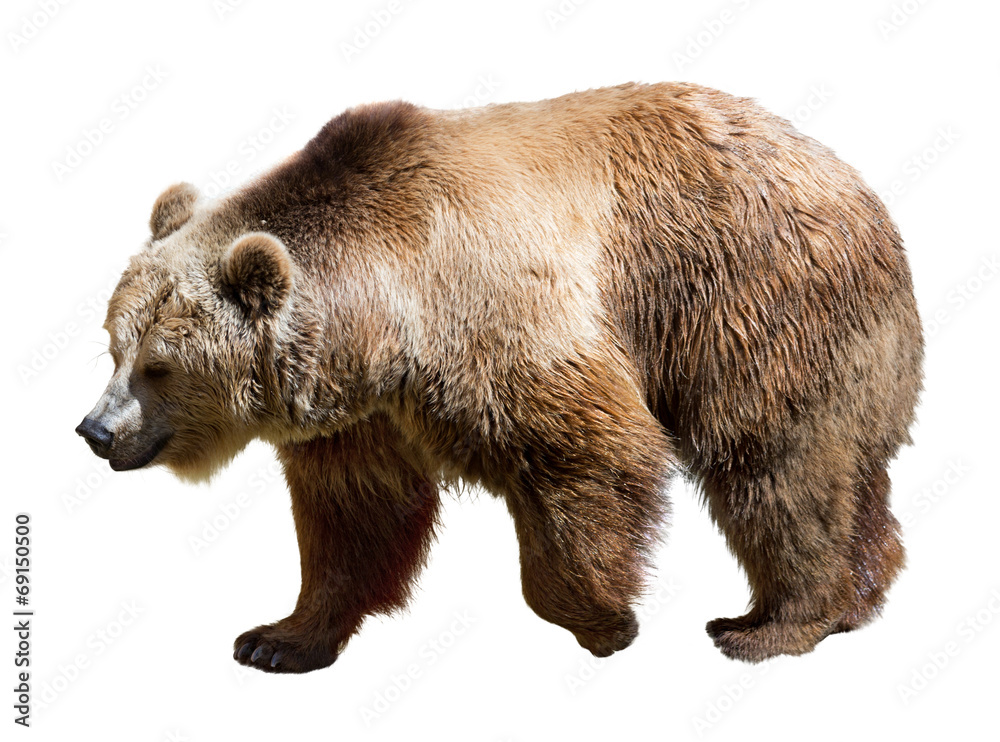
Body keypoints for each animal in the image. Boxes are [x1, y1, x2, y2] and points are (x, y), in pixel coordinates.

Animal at [76, 82, 923, 673]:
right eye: (113, 345)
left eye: (160, 365)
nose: (95, 430)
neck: (382, 321)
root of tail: (850, 179)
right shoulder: (362, 413)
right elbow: (353, 513)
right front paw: (278, 638)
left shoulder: (496, 316)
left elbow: (591, 453)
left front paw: (604, 620)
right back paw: (860, 596)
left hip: (755, 297)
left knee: (776, 459)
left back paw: (769, 624)